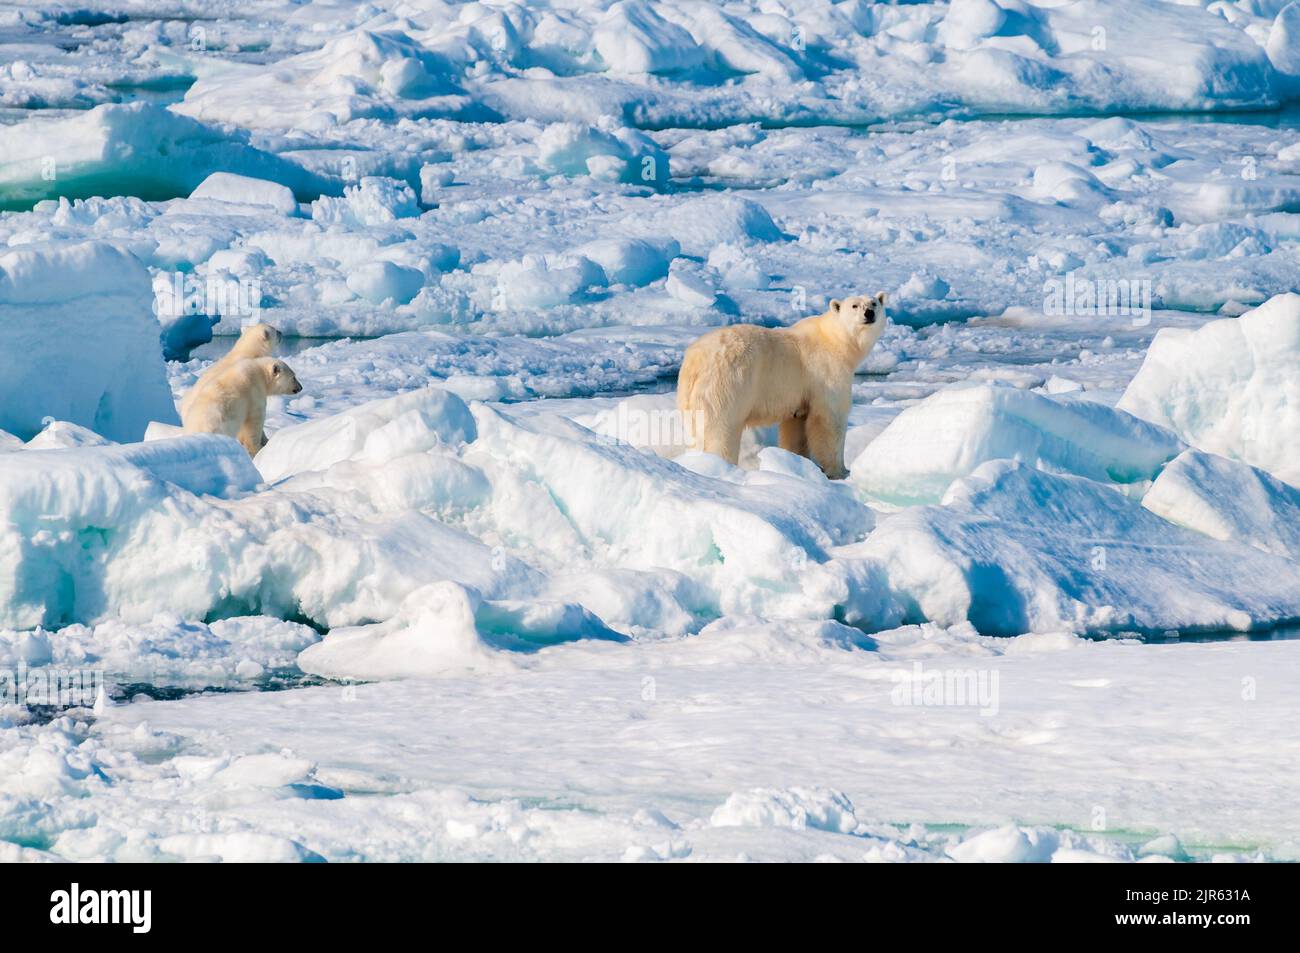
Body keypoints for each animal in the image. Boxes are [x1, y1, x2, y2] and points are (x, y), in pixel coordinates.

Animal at [676, 292, 888, 479]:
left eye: (874, 303)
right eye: (854, 305)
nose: (869, 313)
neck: (836, 340)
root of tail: (695, 360)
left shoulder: (800, 394)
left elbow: (796, 427)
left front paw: (798, 461)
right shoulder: (826, 372)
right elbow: (830, 419)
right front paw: (841, 471)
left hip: (689, 393)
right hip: (728, 382)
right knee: (720, 427)